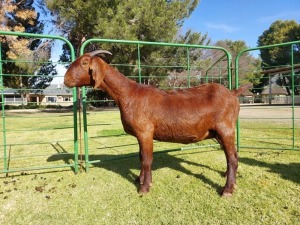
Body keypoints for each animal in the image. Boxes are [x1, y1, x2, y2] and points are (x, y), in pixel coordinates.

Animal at [64, 49, 252, 197]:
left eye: (85, 62)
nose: (65, 79)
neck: (128, 94)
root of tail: (233, 93)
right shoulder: (141, 135)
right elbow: (140, 157)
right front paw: (139, 179)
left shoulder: (145, 132)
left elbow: (147, 159)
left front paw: (144, 188)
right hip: (218, 132)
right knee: (231, 156)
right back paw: (229, 178)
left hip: (226, 128)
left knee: (233, 158)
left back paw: (227, 190)